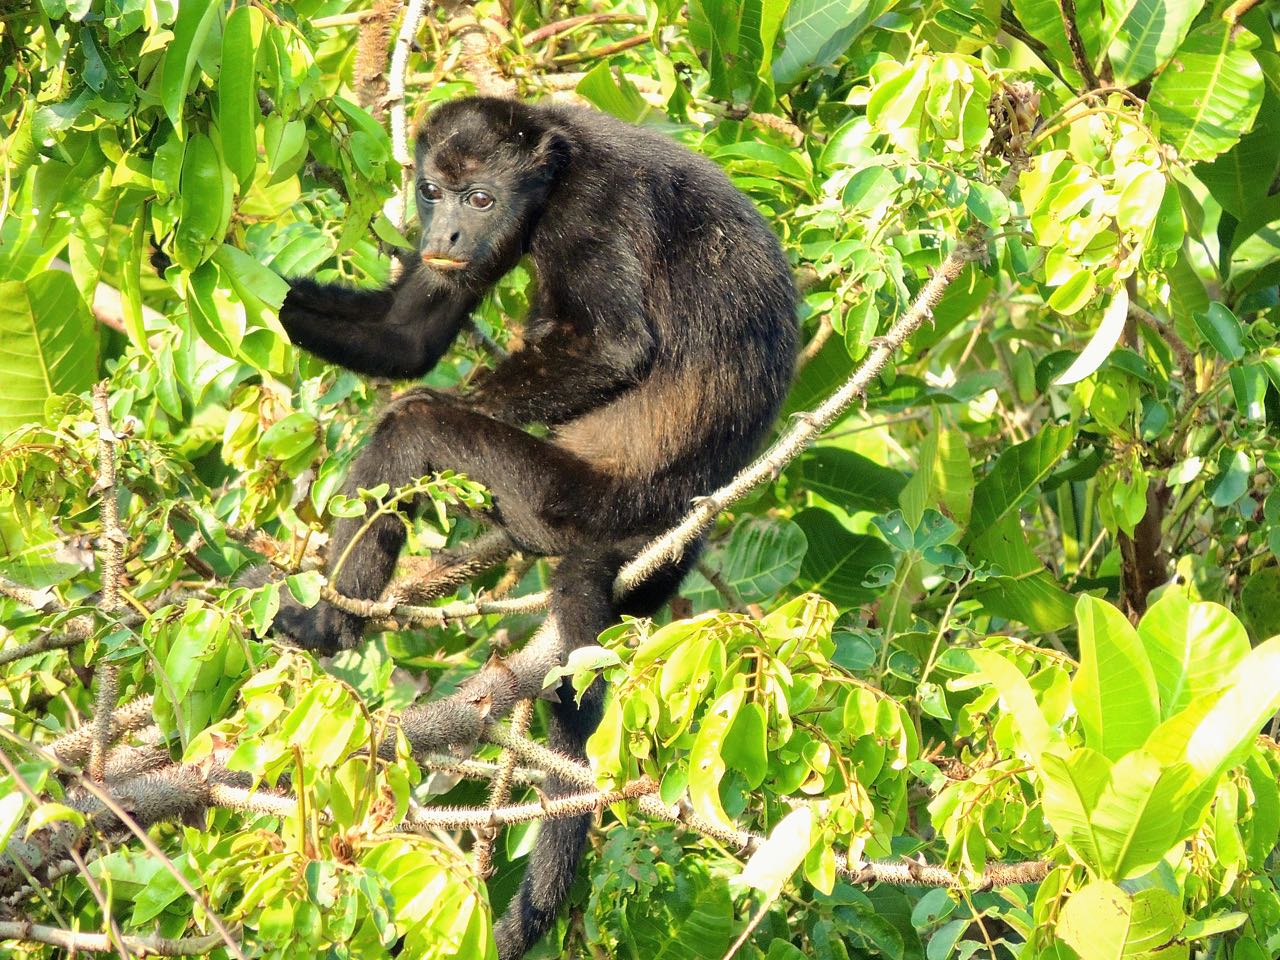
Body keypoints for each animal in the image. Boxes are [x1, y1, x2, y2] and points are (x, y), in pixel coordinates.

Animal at [275, 99, 793, 960]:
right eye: (434, 192)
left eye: (482, 198)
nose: (448, 231)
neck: (556, 164)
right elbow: (409, 336)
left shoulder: (591, 212)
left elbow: (614, 348)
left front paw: (445, 400)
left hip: (554, 495)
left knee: (416, 438)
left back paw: (330, 622)